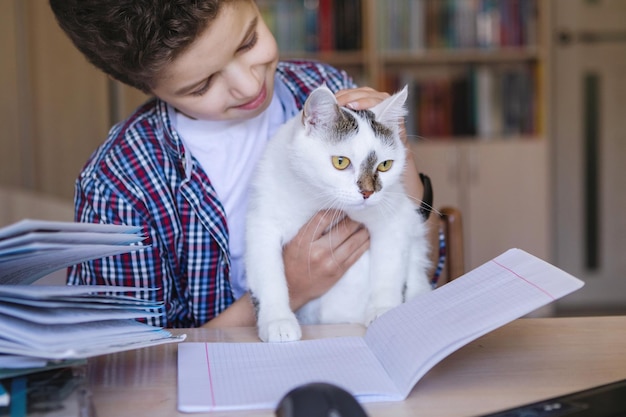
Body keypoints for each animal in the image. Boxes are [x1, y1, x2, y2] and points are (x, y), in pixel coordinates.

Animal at [244, 84, 428, 342]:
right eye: (340, 162)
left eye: (385, 165)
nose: (368, 192)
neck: (320, 200)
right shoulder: (262, 222)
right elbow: (268, 274)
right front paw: (277, 321)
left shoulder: (394, 218)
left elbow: (388, 270)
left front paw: (384, 311)